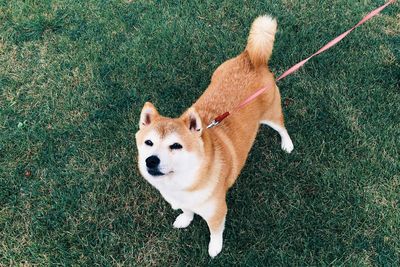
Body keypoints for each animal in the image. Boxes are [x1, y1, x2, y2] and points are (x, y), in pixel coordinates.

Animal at [135, 14, 294, 258]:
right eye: (148, 142)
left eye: (176, 146)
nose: (150, 161)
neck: (183, 182)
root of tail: (250, 58)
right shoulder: (184, 201)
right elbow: (187, 211)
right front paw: (185, 218)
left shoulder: (217, 211)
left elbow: (215, 232)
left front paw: (214, 248)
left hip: (271, 113)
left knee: (282, 127)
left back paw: (287, 144)